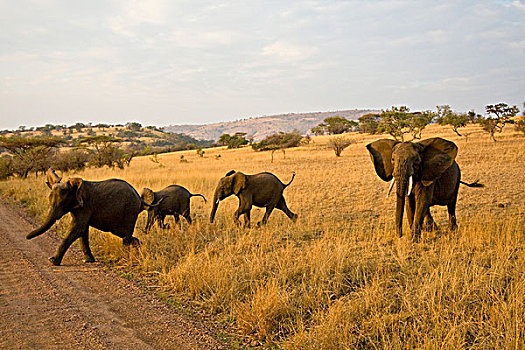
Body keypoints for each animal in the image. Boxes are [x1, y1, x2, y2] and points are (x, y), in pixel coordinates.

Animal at [27, 178, 159, 266]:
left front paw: (52, 261)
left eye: (62, 203)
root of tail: (140, 199)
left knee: (125, 237)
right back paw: (140, 248)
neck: (75, 186)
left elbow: (78, 228)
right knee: (128, 237)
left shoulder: (85, 205)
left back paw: (128, 255)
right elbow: (82, 231)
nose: (27, 237)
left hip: (129, 211)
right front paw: (88, 260)